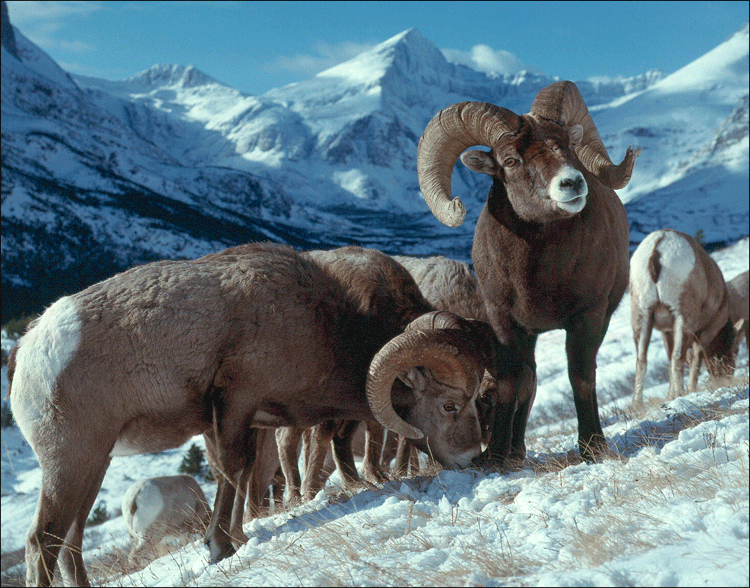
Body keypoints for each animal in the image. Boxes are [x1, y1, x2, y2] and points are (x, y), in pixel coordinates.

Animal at [8, 242, 500, 584]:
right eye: (450, 404)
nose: (472, 459)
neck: (324, 321)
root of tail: (31, 348)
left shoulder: (246, 420)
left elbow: (242, 476)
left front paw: (235, 539)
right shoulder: (236, 404)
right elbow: (233, 471)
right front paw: (220, 546)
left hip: (95, 464)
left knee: (69, 541)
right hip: (70, 460)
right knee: (41, 540)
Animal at [418, 80, 640, 466]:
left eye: (568, 144)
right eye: (510, 160)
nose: (572, 183)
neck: (538, 279)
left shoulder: (588, 318)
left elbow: (580, 377)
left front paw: (592, 447)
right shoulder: (505, 323)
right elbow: (511, 383)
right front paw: (495, 458)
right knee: (528, 379)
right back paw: (516, 452)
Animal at [636, 227, 748, 406]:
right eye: (733, 351)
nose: (725, 376)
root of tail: (657, 249)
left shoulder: (667, 332)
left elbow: (670, 361)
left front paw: (669, 396)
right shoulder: (705, 332)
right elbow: (695, 359)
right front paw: (689, 390)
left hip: (642, 315)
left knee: (641, 360)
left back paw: (637, 405)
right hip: (683, 318)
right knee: (677, 357)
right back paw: (679, 393)